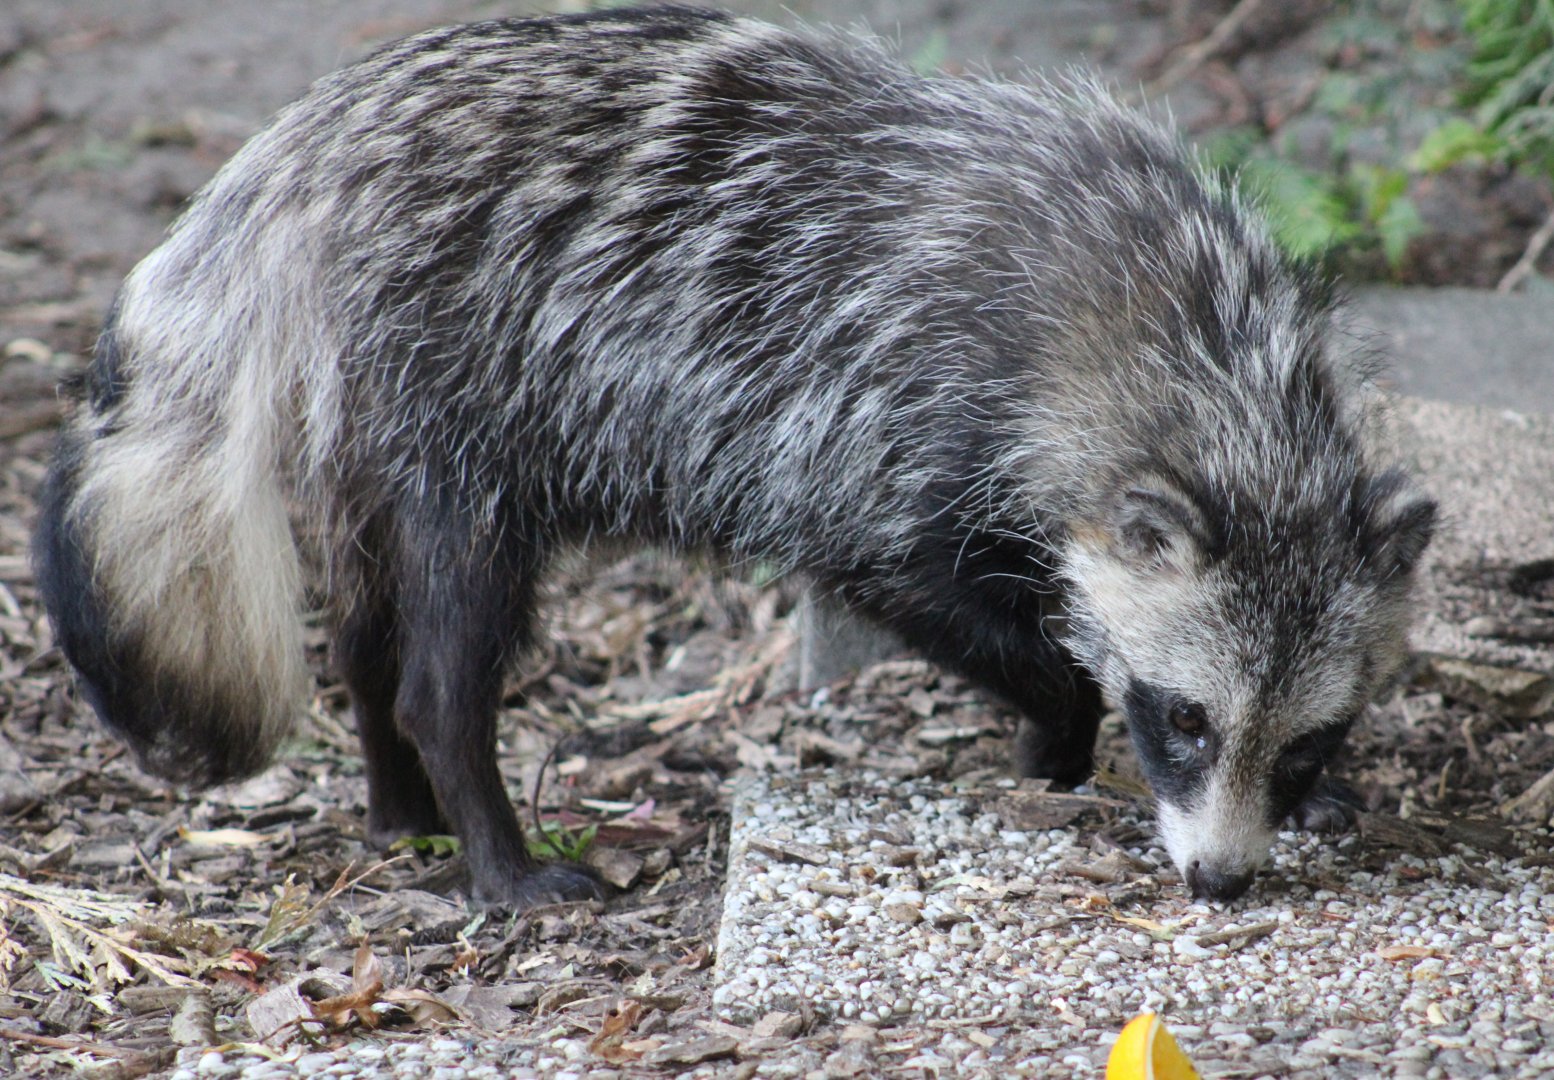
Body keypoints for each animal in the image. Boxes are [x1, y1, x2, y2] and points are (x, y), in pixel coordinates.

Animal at [34, 6, 1434, 908]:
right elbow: (933, 590)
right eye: (1184, 719)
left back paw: (398, 797)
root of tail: (306, 148)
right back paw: (487, 840)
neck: (1178, 344)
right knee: (446, 654)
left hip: (372, 422)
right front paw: (1057, 730)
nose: (1222, 883)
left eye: (1301, 735)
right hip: (457, 400)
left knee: (369, 634)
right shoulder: (886, 425)